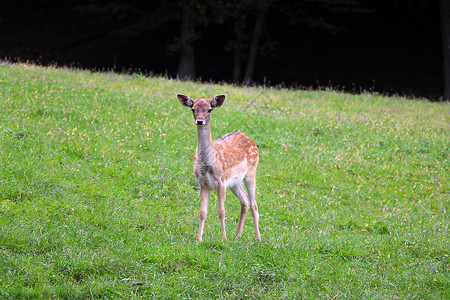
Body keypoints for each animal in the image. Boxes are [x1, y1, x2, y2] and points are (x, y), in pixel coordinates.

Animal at [177, 92, 260, 243]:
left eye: (209, 109)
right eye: (193, 109)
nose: (200, 121)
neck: (207, 163)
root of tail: (254, 142)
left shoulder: (221, 181)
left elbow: (221, 211)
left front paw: (224, 238)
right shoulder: (203, 183)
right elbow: (202, 212)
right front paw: (199, 239)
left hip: (251, 172)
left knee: (254, 204)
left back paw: (258, 237)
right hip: (234, 183)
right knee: (244, 200)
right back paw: (238, 234)